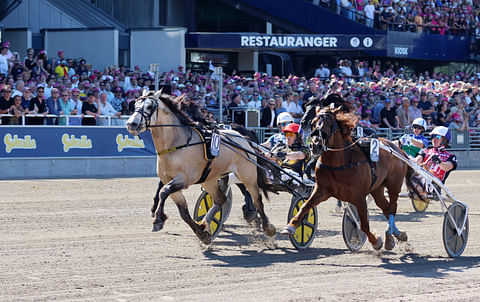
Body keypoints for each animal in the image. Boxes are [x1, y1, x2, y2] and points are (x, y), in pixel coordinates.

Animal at [126, 91, 278, 244]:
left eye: (149, 106)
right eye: (135, 105)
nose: (131, 124)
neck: (177, 144)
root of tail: (244, 138)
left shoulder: (184, 179)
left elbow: (164, 191)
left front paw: (158, 219)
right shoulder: (169, 179)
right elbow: (182, 210)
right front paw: (202, 233)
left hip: (247, 175)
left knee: (256, 199)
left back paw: (266, 225)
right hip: (210, 180)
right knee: (221, 199)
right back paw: (209, 221)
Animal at [284, 105, 422, 251]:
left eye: (329, 123)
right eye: (313, 123)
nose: (316, 145)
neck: (339, 163)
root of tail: (398, 148)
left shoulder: (359, 197)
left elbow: (363, 224)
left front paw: (376, 241)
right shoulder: (322, 190)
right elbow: (306, 206)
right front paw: (291, 226)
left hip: (394, 185)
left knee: (392, 208)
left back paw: (392, 235)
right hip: (377, 189)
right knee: (386, 208)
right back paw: (393, 236)